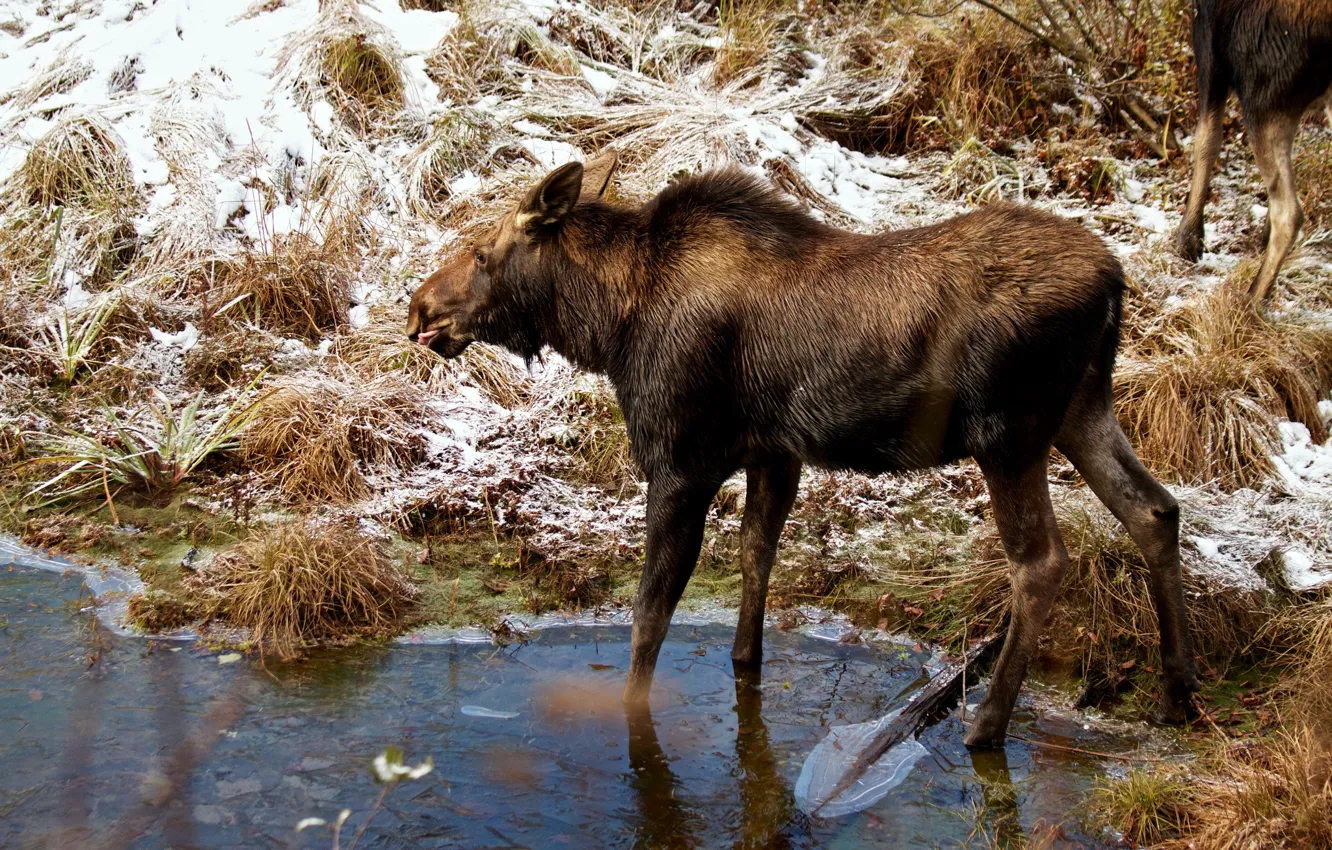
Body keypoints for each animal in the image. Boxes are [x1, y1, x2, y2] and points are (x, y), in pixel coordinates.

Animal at [407, 153, 1199, 748]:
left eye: (481, 252)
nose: (417, 308)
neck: (607, 326)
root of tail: (1116, 282)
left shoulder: (680, 458)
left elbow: (649, 616)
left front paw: (633, 715)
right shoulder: (774, 452)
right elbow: (756, 558)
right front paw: (743, 668)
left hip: (1009, 433)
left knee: (1041, 561)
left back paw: (987, 726)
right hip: (1083, 409)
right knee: (1154, 509)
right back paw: (1177, 693)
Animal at [1175, 0, 1332, 302]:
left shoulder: (1210, 41)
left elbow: (1206, 141)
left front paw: (1188, 238)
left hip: (1262, 93)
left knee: (1290, 212)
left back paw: (1252, 298)